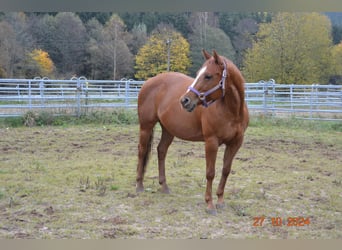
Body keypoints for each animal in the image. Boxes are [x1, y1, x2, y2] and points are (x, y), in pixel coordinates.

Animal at [136, 49, 248, 215]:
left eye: (208, 75)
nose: (185, 100)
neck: (232, 111)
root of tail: (148, 82)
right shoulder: (211, 142)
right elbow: (210, 173)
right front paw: (210, 204)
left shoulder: (235, 143)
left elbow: (226, 170)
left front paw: (220, 200)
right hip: (146, 127)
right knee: (142, 151)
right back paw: (139, 186)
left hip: (168, 130)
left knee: (161, 151)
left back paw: (164, 186)